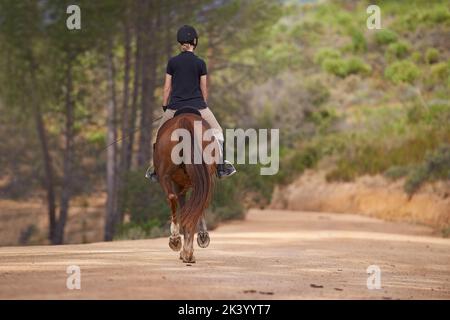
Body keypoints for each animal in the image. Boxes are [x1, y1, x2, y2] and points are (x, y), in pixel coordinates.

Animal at [153, 109, 218, 264]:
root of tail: (184, 120)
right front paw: (200, 237)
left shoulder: (179, 184)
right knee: (194, 205)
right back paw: (187, 251)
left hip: (166, 177)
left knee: (172, 198)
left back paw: (177, 241)